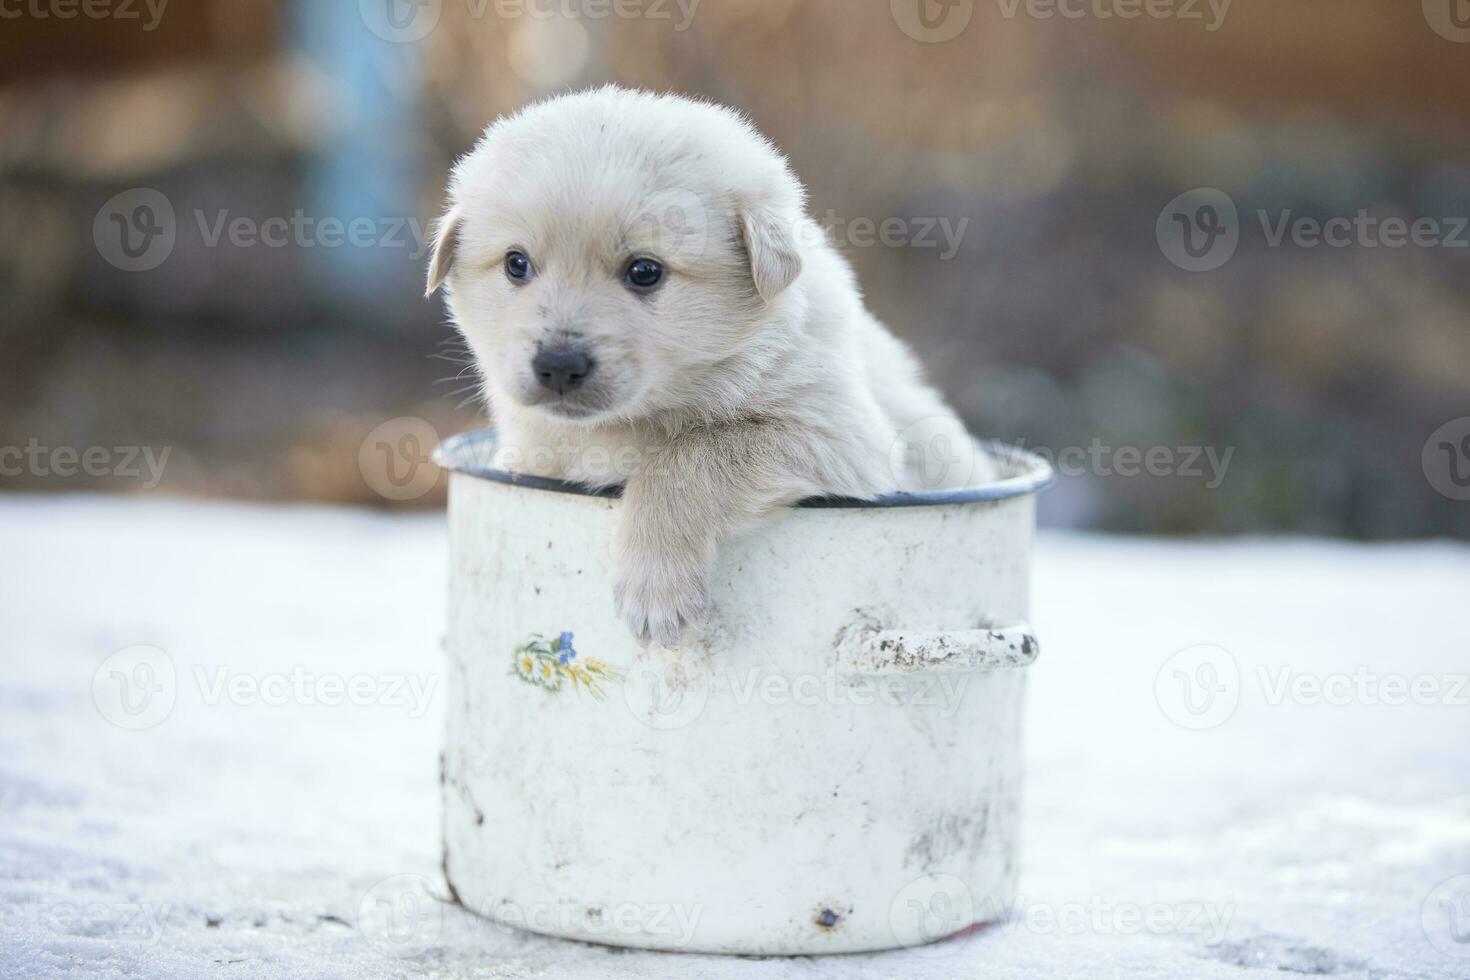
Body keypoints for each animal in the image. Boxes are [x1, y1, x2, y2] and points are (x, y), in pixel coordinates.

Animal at [426, 88, 981, 646]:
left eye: (644, 271)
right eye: (516, 264)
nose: (558, 366)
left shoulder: (839, 434)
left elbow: (690, 455)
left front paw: (654, 592)